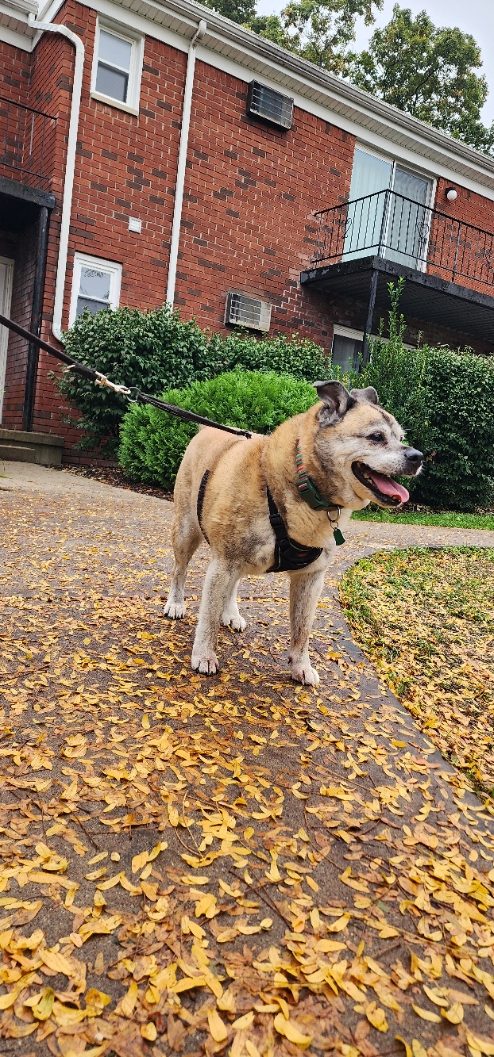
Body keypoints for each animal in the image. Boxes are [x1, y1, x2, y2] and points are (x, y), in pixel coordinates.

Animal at [163, 380, 423, 684]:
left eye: (400, 437)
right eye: (376, 436)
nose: (417, 456)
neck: (305, 484)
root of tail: (205, 429)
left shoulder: (311, 577)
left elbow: (302, 630)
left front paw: (301, 666)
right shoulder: (223, 562)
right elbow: (208, 618)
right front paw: (204, 655)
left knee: (234, 584)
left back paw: (232, 613)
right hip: (186, 531)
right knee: (180, 570)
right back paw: (176, 603)